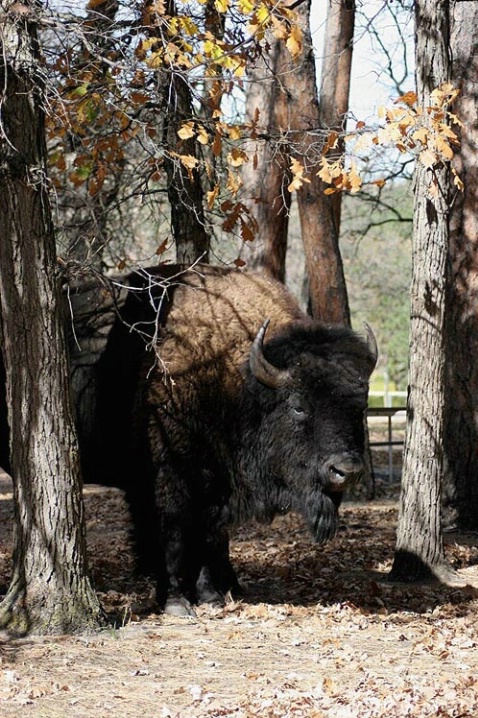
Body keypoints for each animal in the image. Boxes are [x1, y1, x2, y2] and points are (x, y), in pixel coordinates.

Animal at [123, 268, 378, 616]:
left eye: (361, 406)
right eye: (298, 406)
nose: (346, 471)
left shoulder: (217, 485)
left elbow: (211, 533)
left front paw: (210, 596)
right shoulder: (172, 472)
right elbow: (175, 529)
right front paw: (177, 602)